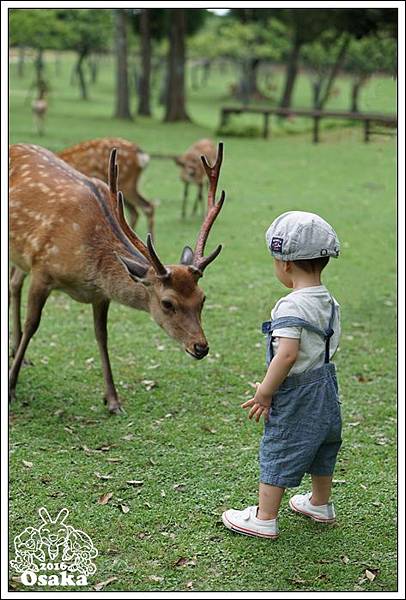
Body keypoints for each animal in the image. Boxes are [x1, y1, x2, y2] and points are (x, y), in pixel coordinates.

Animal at [8, 141, 225, 414]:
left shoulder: (100, 295)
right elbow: (32, 325)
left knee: (14, 283)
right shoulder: (42, 270)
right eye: (167, 303)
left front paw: (112, 400)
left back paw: (17, 353)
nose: (201, 347)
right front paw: (11, 388)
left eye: (202, 298)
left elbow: (102, 336)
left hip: (22, 255)